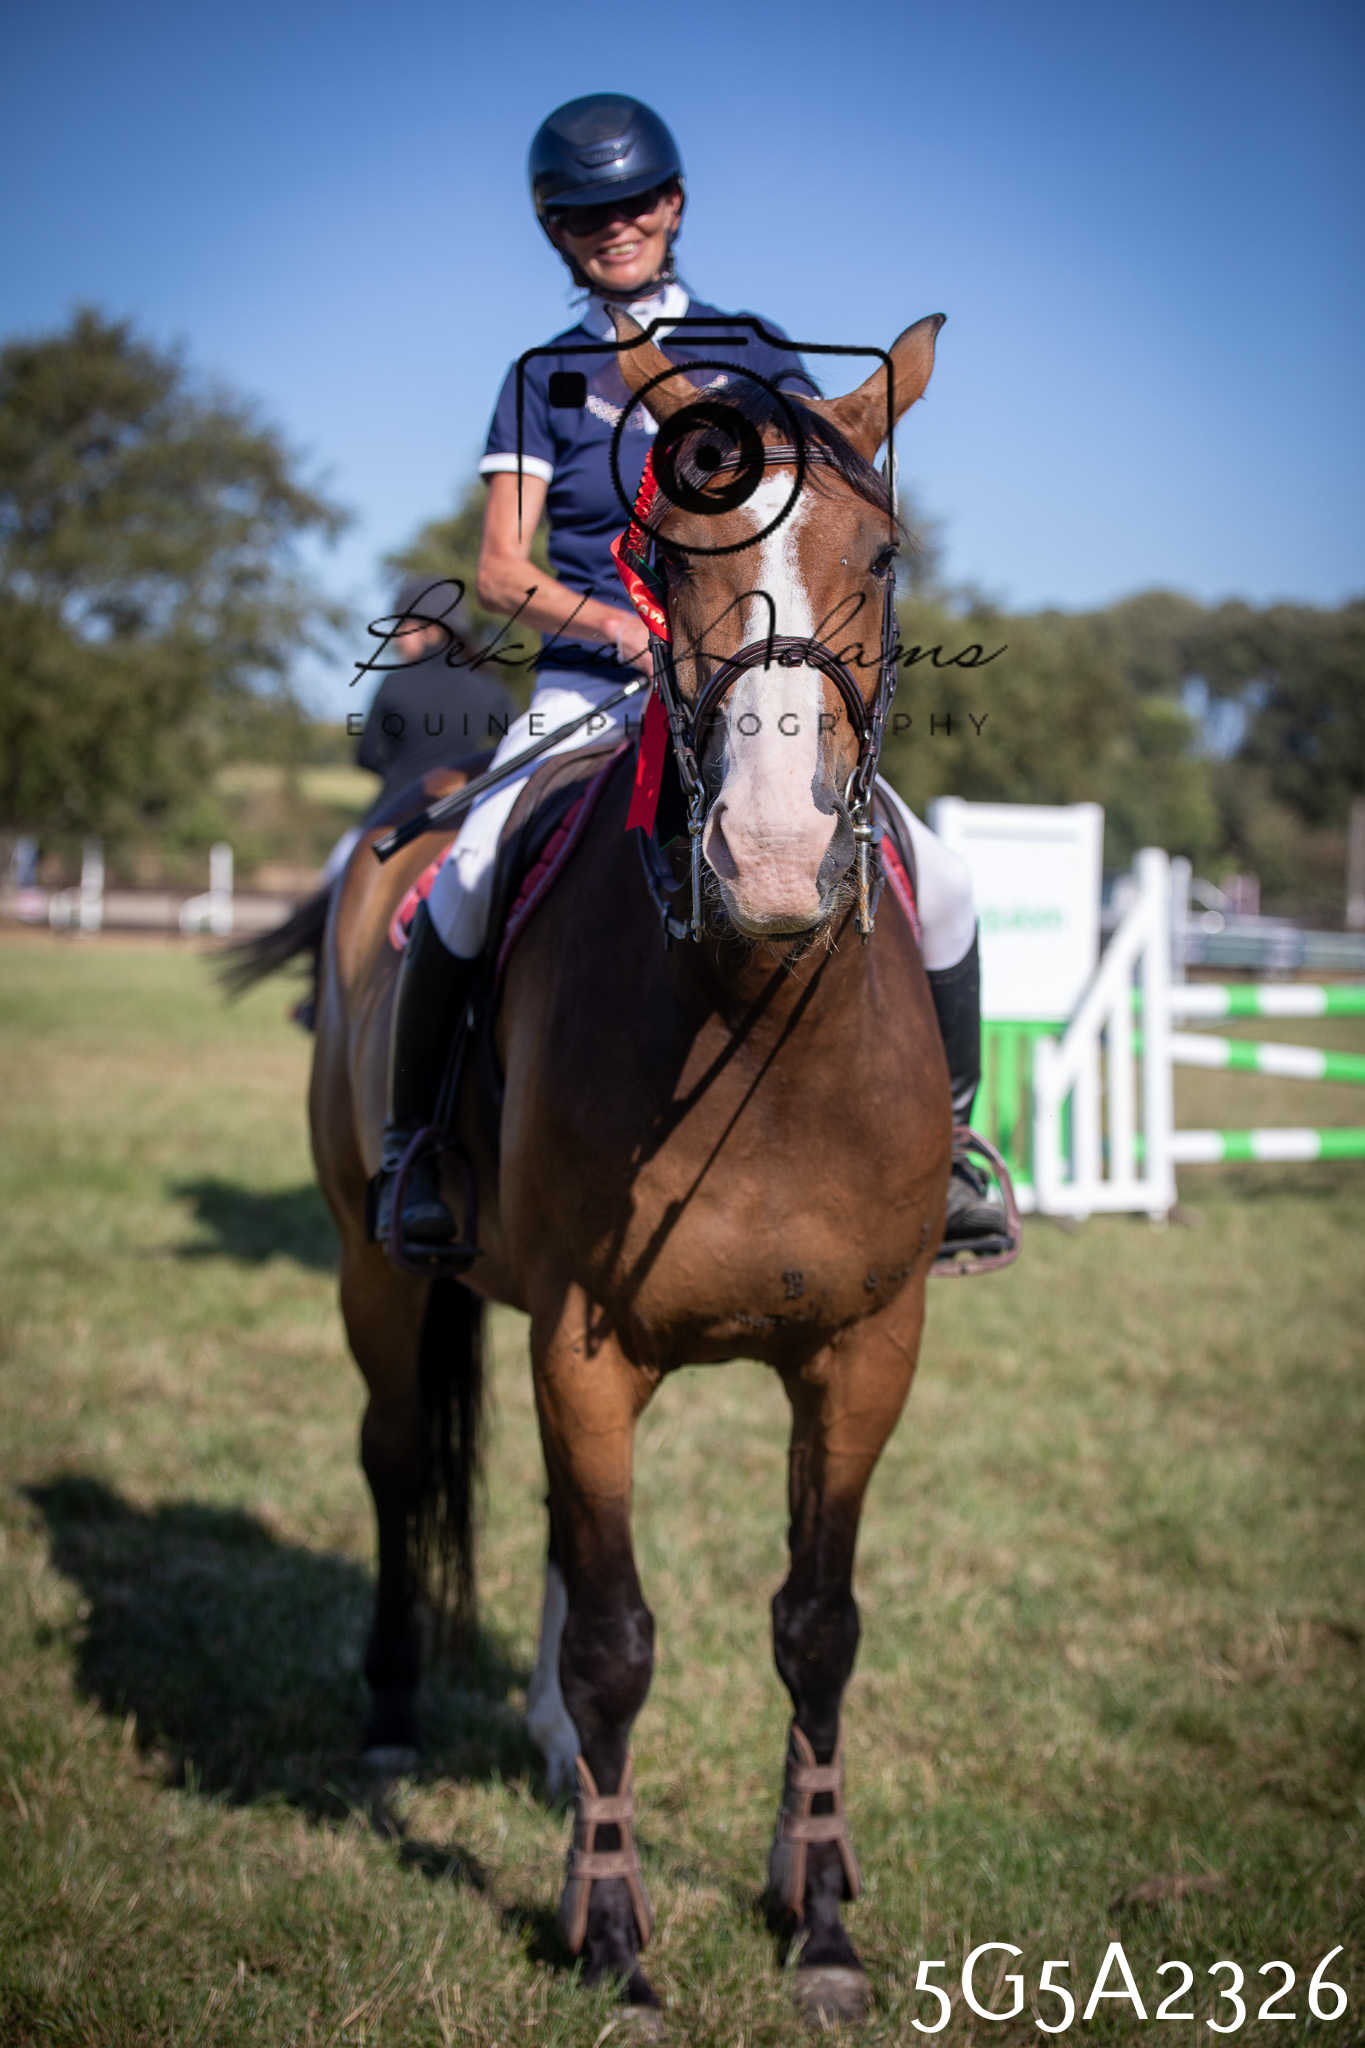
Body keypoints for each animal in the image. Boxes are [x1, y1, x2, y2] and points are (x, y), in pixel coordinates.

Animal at [234, 312, 953, 2024]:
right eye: (665, 550)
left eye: (884, 554)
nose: (770, 860)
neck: (759, 1027)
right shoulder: (585, 1342)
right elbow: (621, 1636)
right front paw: (619, 1946)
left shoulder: (864, 1349)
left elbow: (817, 1626)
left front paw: (817, 1918)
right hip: (376, 1274)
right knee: (398, 1466)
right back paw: (394, 1722)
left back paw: (568, 1777)